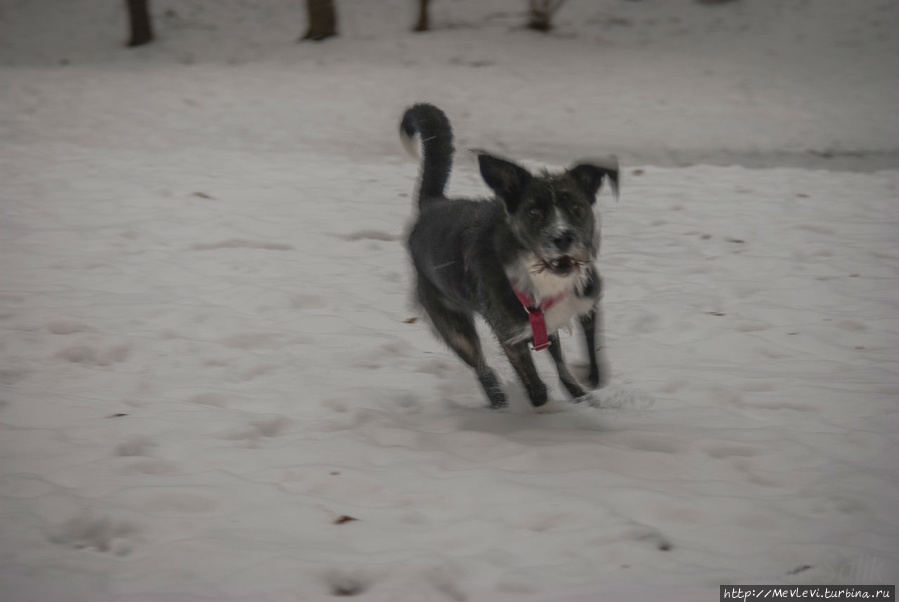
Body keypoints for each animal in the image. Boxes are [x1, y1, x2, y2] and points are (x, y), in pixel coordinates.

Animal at [400, 103, 620, 408]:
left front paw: (587, 380)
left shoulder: (585, 300)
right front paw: (540, 402)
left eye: (574, 205)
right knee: (480, 364)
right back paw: (497, 400)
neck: (543, 275)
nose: (563, 237)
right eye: (534, 211)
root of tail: (433, 204)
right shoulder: (510, 335)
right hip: (451, 322)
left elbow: (587, 350)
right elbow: (534, 384)